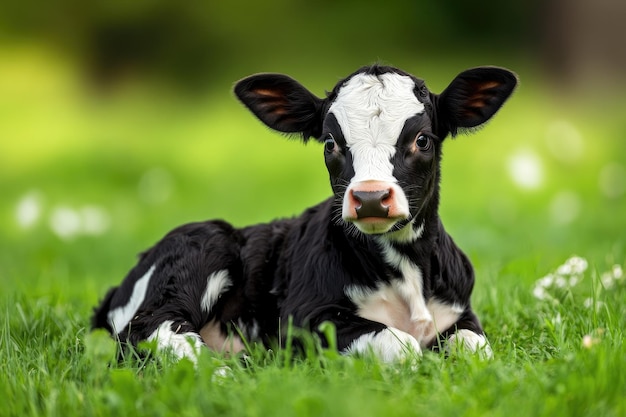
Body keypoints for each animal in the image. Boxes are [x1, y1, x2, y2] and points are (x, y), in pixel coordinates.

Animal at [90, 63, 516, 362]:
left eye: (423, 139)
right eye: (330, 143)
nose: (371, 197)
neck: (409, 277)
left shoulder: (460, 312)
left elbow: (477, 348)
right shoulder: (304, 318)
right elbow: (403, 345)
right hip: (204, 241)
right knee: (148, 328)